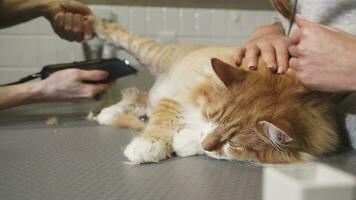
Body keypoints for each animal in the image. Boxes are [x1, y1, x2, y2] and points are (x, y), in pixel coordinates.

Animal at [88, 16, 340, 164]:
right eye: (211, 116)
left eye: (235, 143)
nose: (205, 143)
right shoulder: (176, 100)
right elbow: (163, 123)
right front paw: (146, 145)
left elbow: (198, 139)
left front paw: (186, 143)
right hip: (149, 52)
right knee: (114, 31)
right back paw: (88, 21)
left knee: (137, 99)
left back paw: (108, 114)